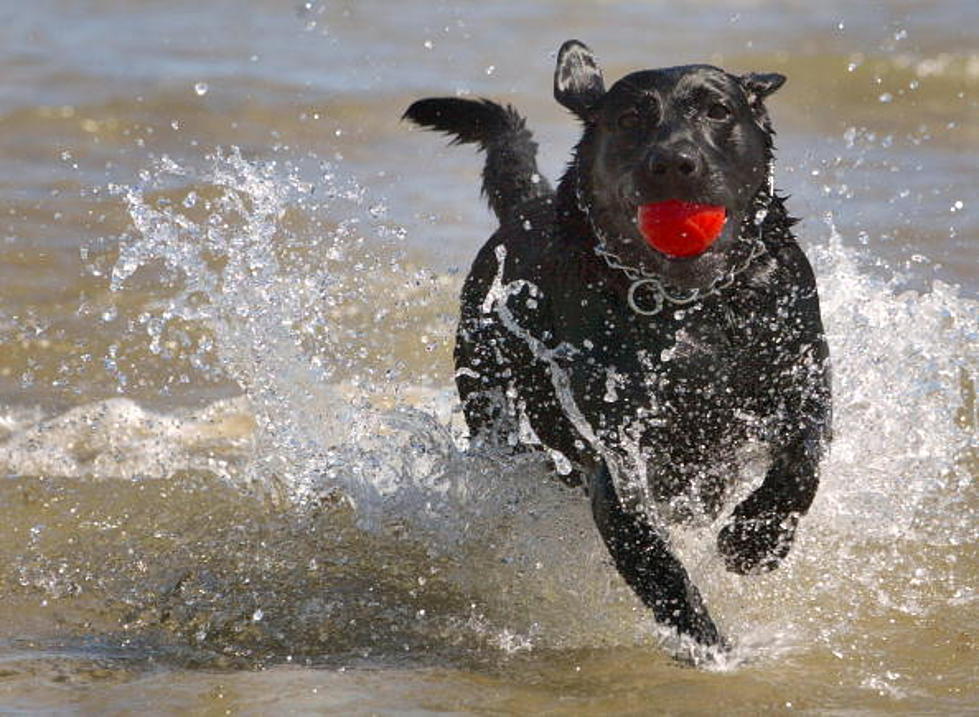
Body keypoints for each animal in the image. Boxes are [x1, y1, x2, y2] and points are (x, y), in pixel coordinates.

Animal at [402, 39, 832, 648]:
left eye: (717, 110)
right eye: (631, 118)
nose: (674, 162)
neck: (690, 309)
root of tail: (524, 207)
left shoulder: (801, 381)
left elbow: (804, 457)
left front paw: (756, 540)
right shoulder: (615, 454)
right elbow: (654, 557)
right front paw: (709, 647)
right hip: (486, 386)